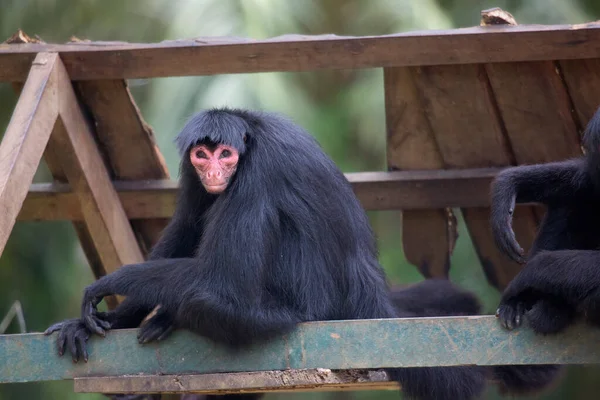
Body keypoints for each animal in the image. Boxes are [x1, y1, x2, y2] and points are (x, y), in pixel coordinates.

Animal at [45, 108, 556, 398]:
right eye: (202, 156)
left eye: (226, 154)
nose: (214, 171)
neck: (252, 136)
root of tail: (368, 295)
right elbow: (187, 224)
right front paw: (102, 318)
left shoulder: (258, 171)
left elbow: (223, 284)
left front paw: (114, 283)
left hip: (307, 300)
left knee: (217, 294)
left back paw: (178, 316)